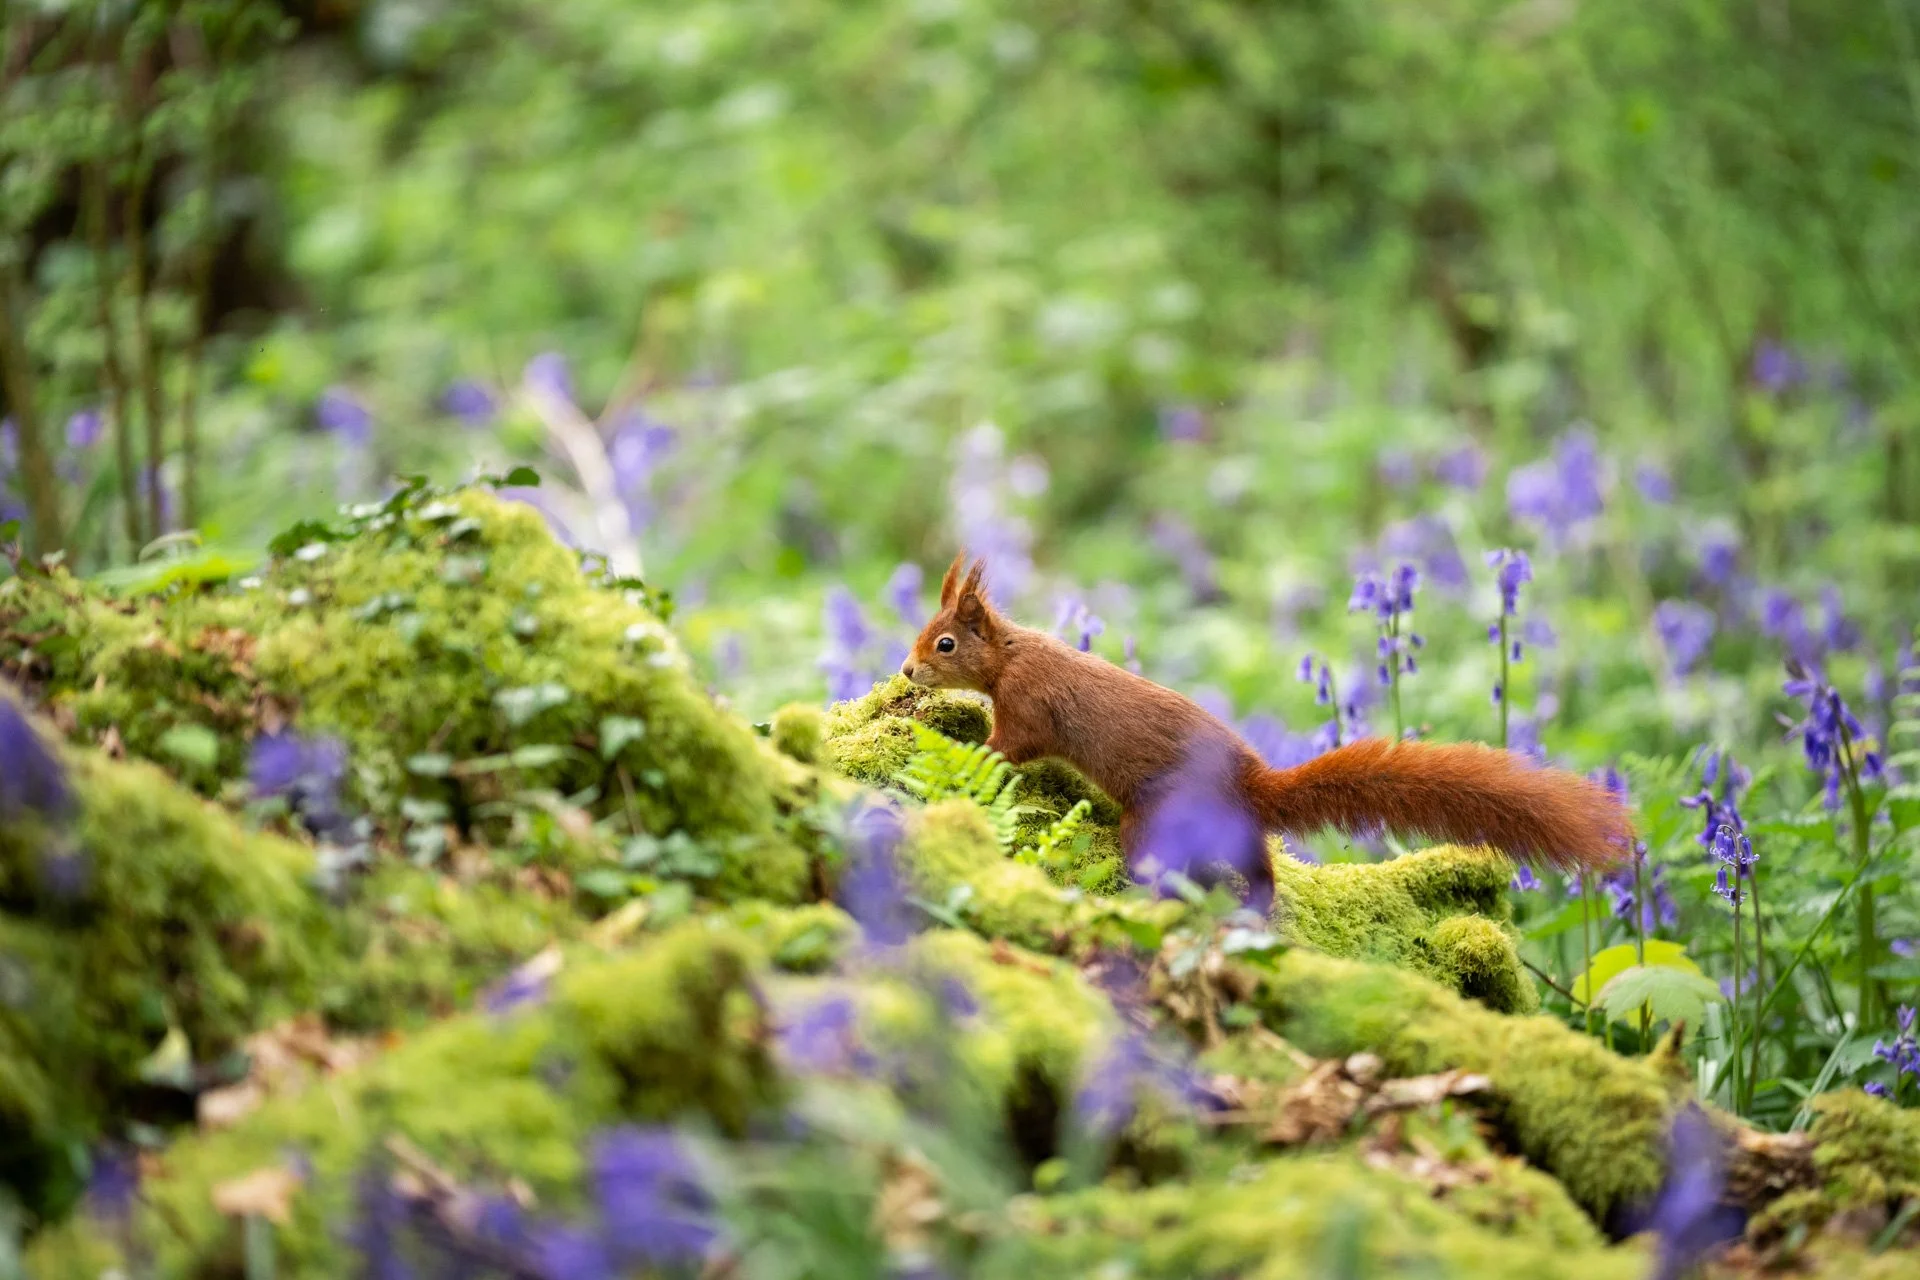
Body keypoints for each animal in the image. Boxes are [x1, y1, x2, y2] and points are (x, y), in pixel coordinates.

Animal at [901, 555, 1632, 910]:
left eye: (944, 643)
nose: (907, 670)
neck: (1011, 655)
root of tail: (1252, 784)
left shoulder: (1030, 704)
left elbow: (1011, 745)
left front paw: (961, 739)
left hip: (1158, 815)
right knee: (1260, 866)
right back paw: (1258, 904)